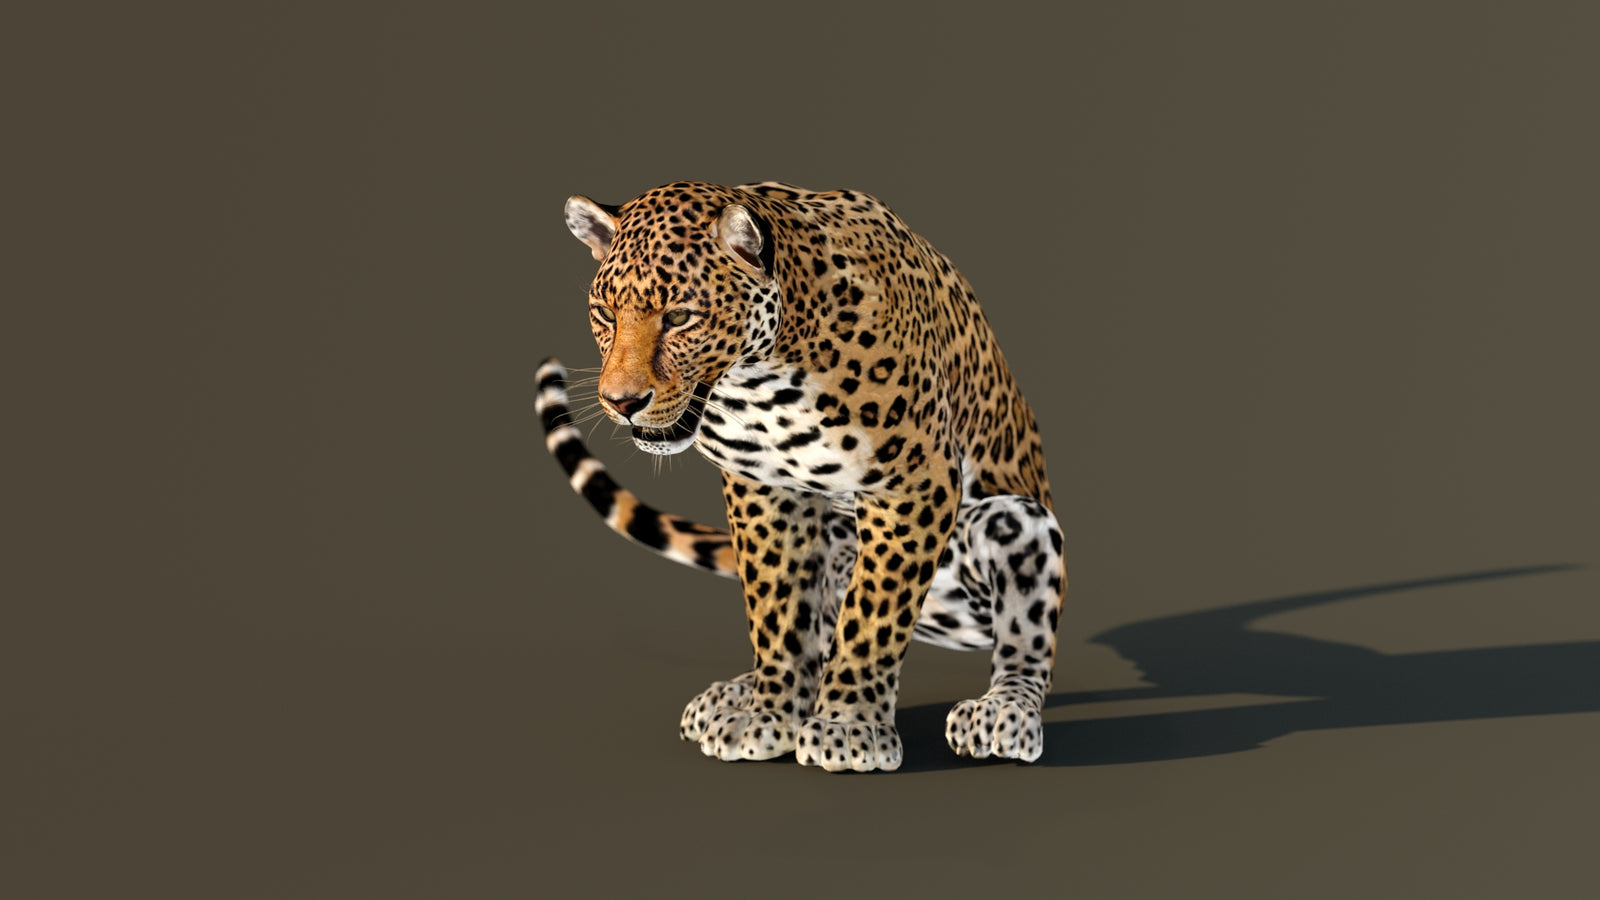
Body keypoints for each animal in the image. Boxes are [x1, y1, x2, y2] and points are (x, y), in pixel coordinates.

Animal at [537, 181, 1066, 772]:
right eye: (604, 313)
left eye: (680, 317)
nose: (621, 402)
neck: (761, 381)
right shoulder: (765, 490)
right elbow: (778, 609)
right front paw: (771, 714)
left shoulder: (913, 482)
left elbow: (872, 614)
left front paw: (847, 727)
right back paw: (732, 696)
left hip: (1015, 520)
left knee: (1023, 642)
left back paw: (1002, 713)